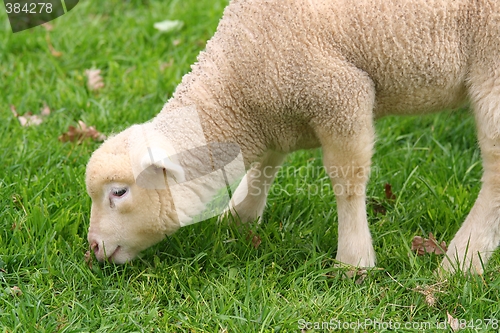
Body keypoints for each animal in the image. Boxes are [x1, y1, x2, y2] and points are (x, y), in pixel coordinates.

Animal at [85, 0, 500, 274]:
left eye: (118, 192)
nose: (92, 247)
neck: (235, 90)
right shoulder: (277, 113)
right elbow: (265, 166)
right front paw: (238, 217)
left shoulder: (341, 94)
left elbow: (347, 181)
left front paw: (354, 262)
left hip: (491, 66)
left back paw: (462, 261)